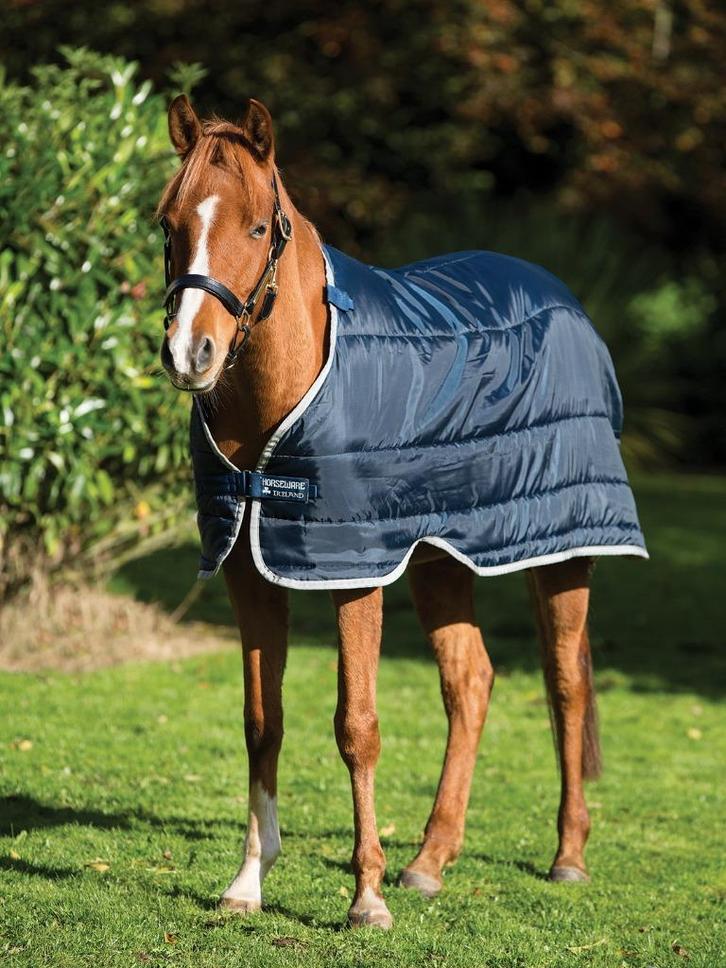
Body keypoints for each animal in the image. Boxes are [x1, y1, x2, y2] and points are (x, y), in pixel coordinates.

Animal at [157, 95, 646, 929]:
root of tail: (563, 299)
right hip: (441, 559)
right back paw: (430, 861)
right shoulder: (250, 571)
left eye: (255, 228)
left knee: (565, 685)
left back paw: (567, 856)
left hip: (562, 550)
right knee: (470, 682)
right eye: (169, 224)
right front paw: (248, 883)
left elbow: (357, 726)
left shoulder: (354, 573)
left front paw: (366, 898)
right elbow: (262, 723)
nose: (192, 353)